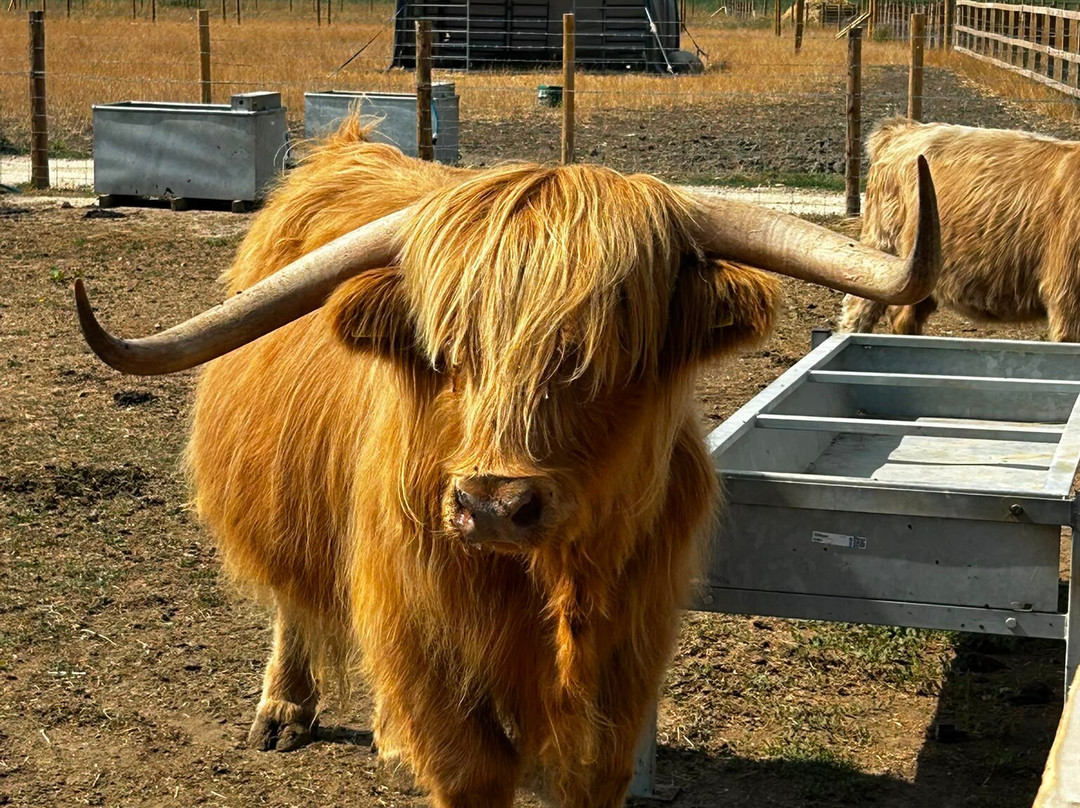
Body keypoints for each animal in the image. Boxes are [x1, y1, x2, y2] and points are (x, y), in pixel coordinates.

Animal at [74, 119, 939, 808]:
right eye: (448, 349)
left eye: (600, 353)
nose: (493, 504)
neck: (546, 585)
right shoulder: (432, 651)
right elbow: (466, 768)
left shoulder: (626, 659)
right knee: (292, 597)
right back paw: (285, 710)